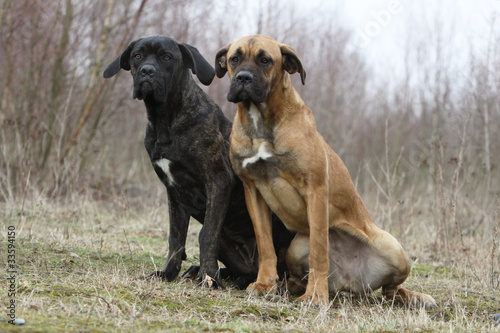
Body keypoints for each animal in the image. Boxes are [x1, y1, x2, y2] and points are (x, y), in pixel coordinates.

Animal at [104, 35, 294, 286]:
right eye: (137, 56)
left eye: (167, 57)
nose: (147, 71)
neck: (165, 120)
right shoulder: (174, 192)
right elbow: (175, 238)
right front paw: (168, 273)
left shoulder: (218, 180)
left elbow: (208, 236)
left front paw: (208, 278)